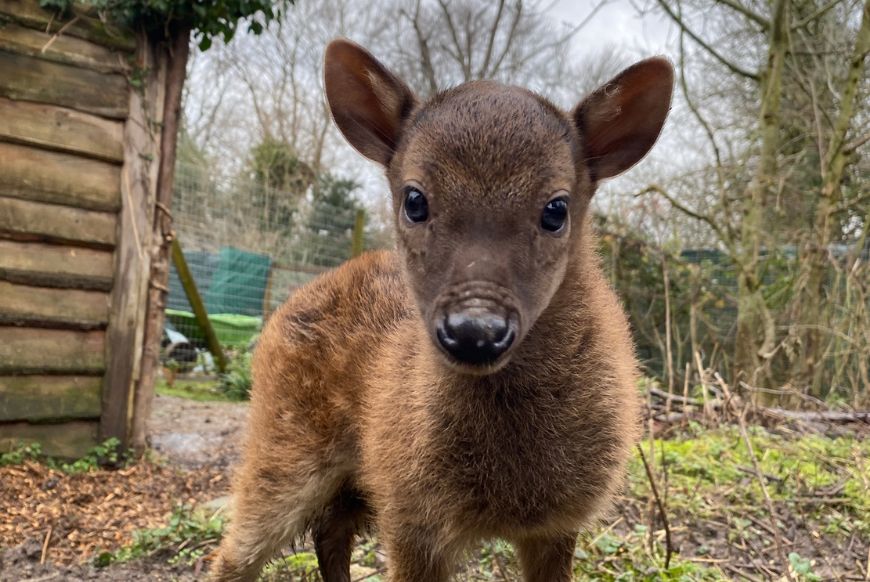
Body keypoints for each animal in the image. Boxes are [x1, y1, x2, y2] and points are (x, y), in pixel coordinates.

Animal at [210, 39, 673, 582]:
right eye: (415, 200)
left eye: (556, 208)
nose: (475, 330)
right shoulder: (411, 515)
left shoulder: (558, 522)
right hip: (284, 443)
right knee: (236, 550)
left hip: (358, 475)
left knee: (328, 531)